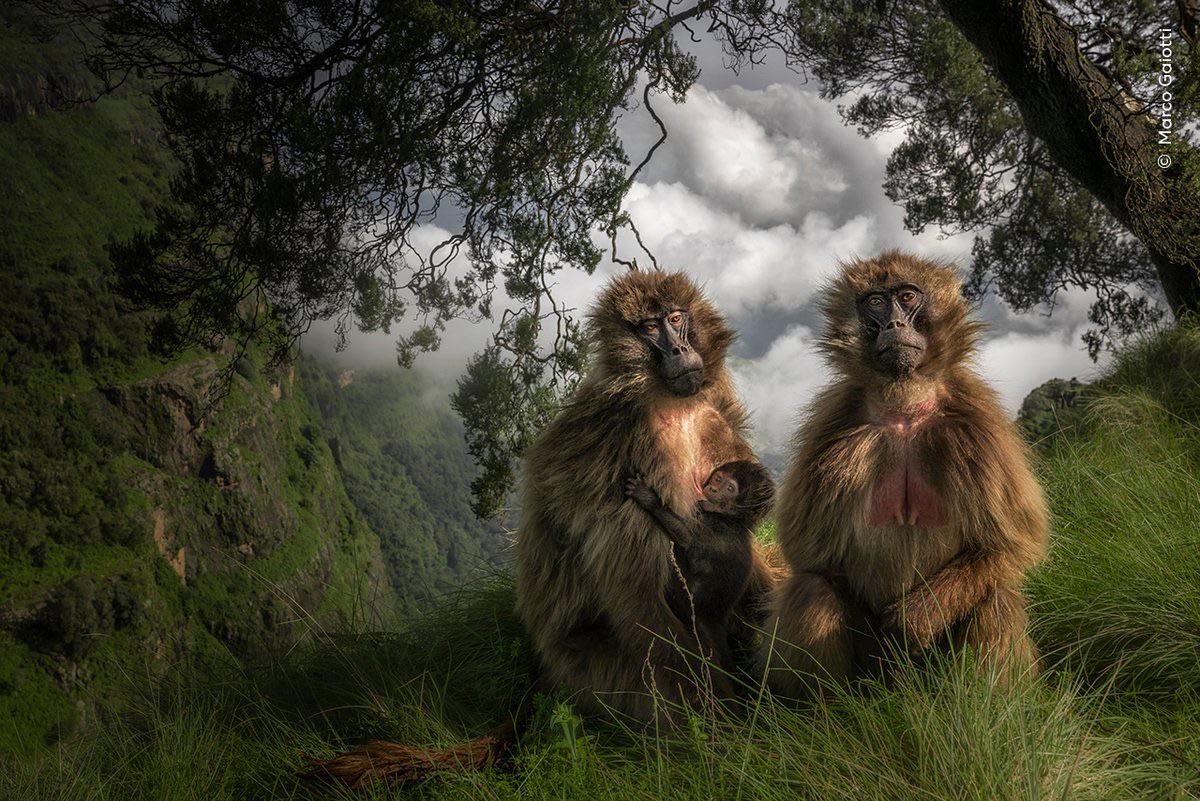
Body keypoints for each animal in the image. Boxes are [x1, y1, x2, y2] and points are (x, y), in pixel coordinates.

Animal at [624, 460, 775, 690]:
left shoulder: (713, 529)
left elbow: (687, 540)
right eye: (718, 479)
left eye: (729, 489)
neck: (732, 520)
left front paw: (650, 500)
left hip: (687, 602)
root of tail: (714, 618)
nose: (712, 488)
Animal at [762, 251, 1049, 697]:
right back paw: (823, 710)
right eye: (876, 302)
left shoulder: (978, 428)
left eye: (908, 296)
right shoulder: (831, 430)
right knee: (813, 590)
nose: (895, 325)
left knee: (996, 597)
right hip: (872, 674)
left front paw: (917, 617)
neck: (904, 409)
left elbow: (1008, 545)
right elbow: (811, 556)